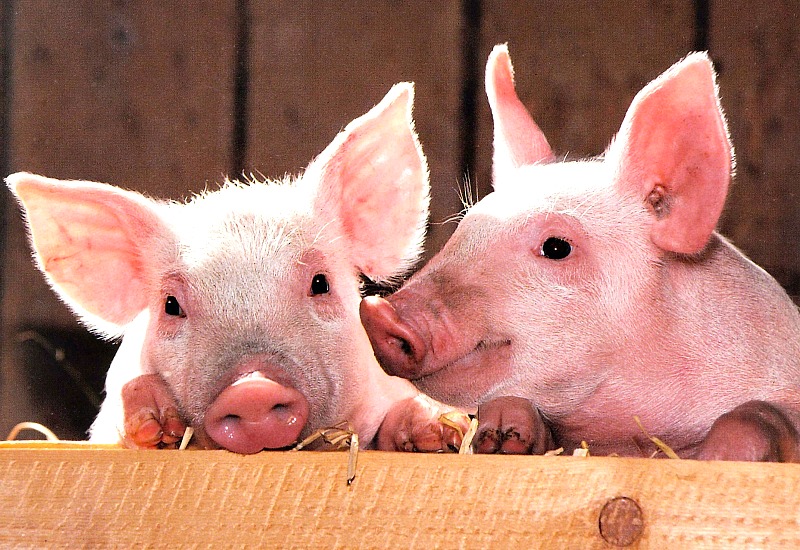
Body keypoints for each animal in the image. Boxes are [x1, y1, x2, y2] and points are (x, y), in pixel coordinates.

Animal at [360, 45, 800, 462]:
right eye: (465, 230)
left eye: (556, 247)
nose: (379, 311)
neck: (633, 433)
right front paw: (502, 432)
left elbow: (758, 414)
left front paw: (716, 457)